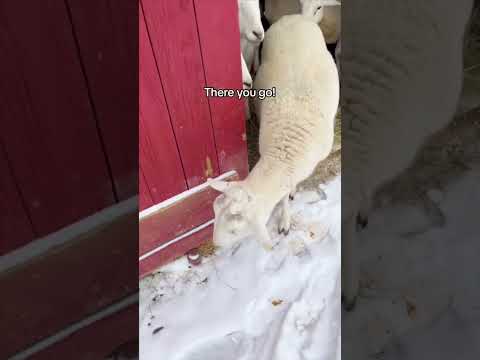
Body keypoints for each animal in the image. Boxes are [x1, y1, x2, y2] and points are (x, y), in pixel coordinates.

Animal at [209, 14, 338, 250]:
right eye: (214, 211)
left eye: (234, 231)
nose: (215, 244)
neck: (282, 154)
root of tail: (297, 16)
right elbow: (284, 195)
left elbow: (287, 191)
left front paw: (286, 215)